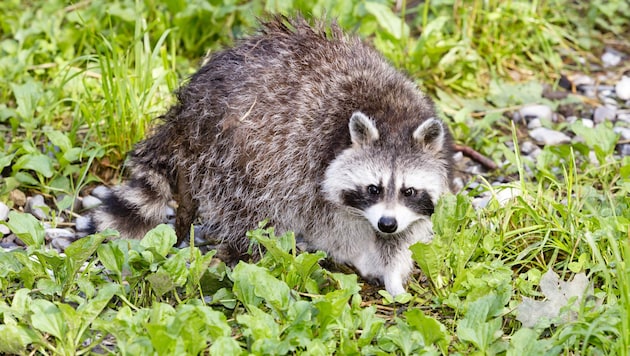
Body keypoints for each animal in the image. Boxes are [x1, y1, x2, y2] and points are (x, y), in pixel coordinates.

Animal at [90, 16, 454, 294]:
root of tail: (188, 106)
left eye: (408, 190)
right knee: (253, 210)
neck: (391, 117)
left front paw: (394, 269)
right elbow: (331, 226)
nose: (386, 224)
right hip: (236, 154)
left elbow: (406, 235)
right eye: (373, 188)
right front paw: (361, 255)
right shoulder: (310, 164)